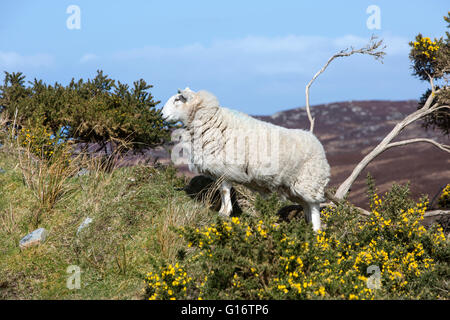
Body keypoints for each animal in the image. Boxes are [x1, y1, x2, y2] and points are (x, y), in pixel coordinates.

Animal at [162, 87, 330, 231]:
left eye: (177, 99)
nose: (162, 115)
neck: (212, 121)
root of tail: (316, 141)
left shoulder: (226, 167)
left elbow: (224, 190)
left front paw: (225, 212)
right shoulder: (220, 169)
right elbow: (222, 190)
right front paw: (224, 210)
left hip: (309, 181)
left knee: (314, 207)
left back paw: (316, 230)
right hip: (293, 187)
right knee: (306, 205)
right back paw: (308, 227)